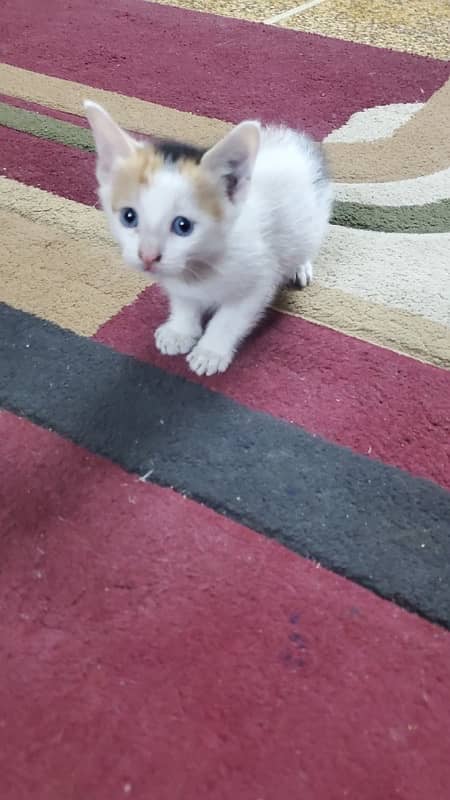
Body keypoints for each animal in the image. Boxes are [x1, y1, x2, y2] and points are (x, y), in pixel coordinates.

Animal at [84, 100, 332, 376]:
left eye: (183, 226)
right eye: (129, 217)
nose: (147, 256)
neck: (201, 265)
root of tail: (290, 139)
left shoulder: (258, 281)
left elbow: (229, 319)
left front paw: (210, 351)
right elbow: (184, 301)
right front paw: (180, 331)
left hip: (310, 223)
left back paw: (299, 267)